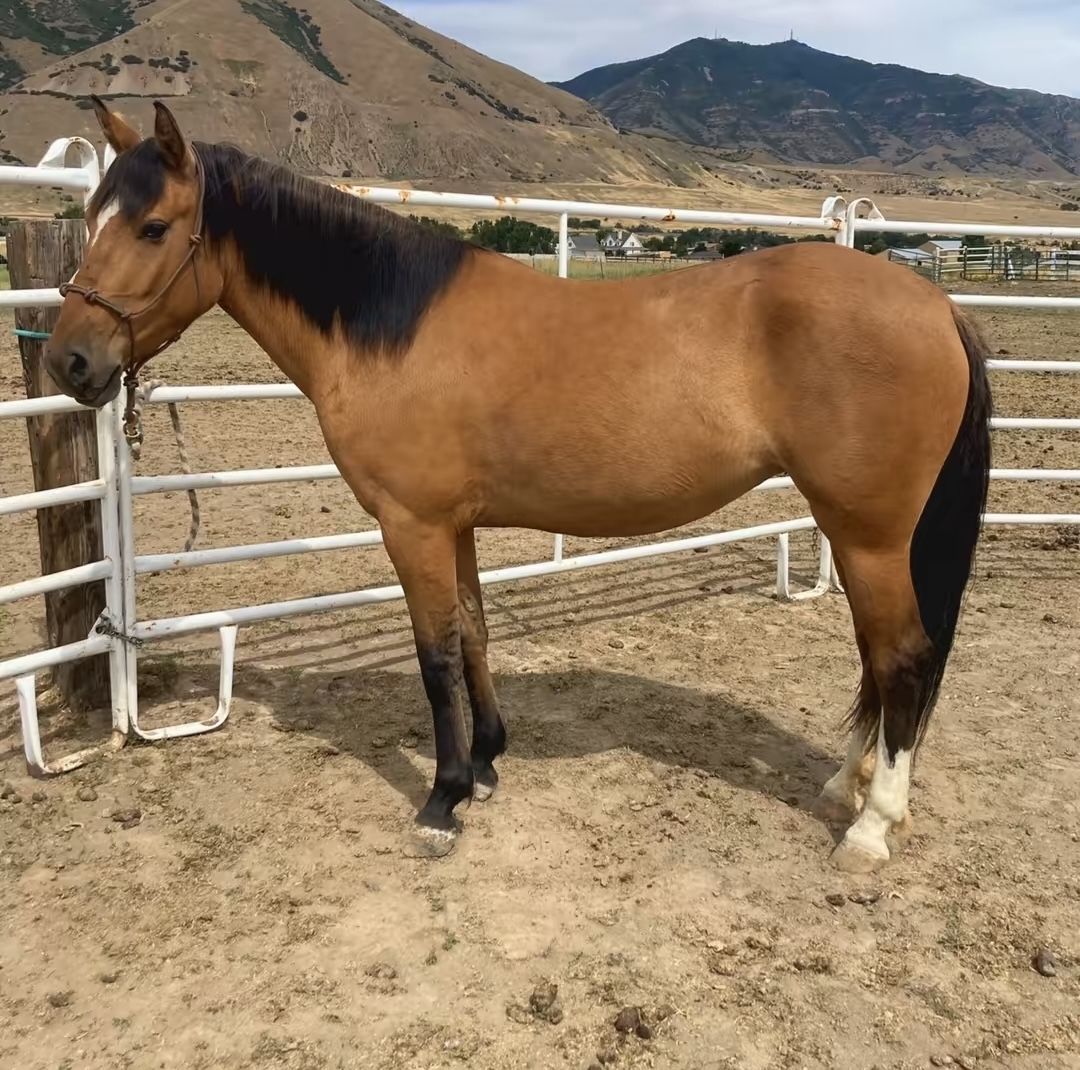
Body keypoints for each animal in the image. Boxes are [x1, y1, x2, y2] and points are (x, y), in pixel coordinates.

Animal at [45, 98, 992, 873]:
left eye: (154, 227)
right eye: (90, 217)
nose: (70, 362)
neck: (391, 325)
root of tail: (937, 305)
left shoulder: (412, 525)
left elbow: (434, 656)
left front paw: (443, 798)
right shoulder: (454, 526)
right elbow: (473, 632)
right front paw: (489, 762)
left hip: (870, 535)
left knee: (903, 658)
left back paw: (871, 826)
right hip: (856, 534)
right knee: (877, 658)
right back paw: (844, 785)